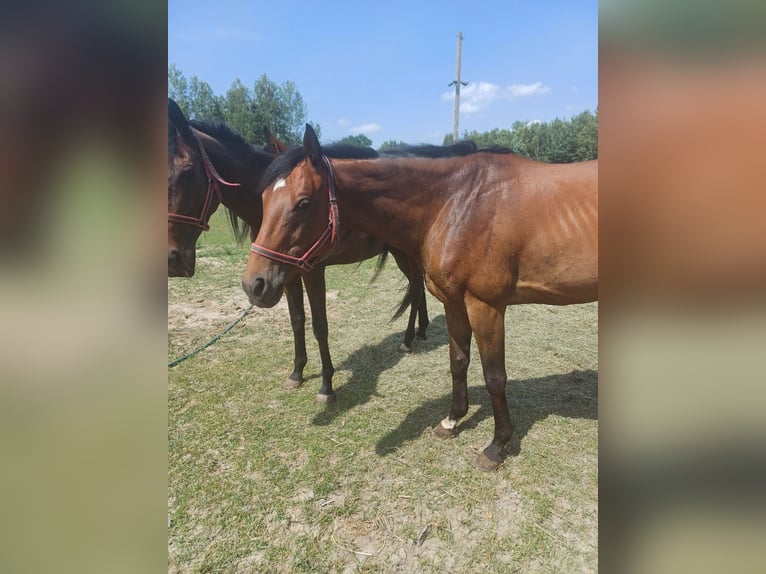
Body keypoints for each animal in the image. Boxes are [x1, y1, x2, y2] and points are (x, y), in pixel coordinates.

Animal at [169, 99, 432, 402]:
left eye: (187, 172)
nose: (172, 259)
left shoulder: (311, 271)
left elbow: (319, 324)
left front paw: (326, 385)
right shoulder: (282, 275)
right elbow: (297, 320)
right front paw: (297, 373)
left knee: (415, 287)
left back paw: (408, 339)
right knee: (417, 288)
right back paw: (421, 330)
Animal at [242, 125, 600, 472]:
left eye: (303, 203)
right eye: (263, 198)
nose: (254, 285)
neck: (458, 202)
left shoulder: (486, 307)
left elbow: (494, 377)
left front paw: (497, 446)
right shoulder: (454, 303)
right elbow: (458, 361)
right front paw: (452, 420)